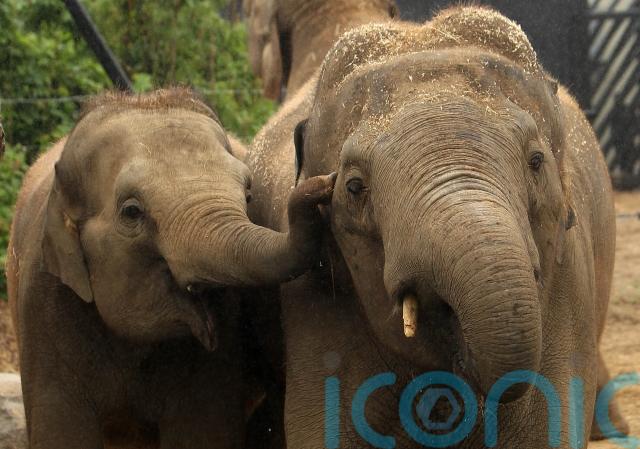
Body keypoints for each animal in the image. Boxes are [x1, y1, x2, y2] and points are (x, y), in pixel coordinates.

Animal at [6, 88, 334, 449]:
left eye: (248, 195)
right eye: (131, 211)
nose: (325, 182)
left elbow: (201, 432)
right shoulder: (43, 305)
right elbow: (59, 433)